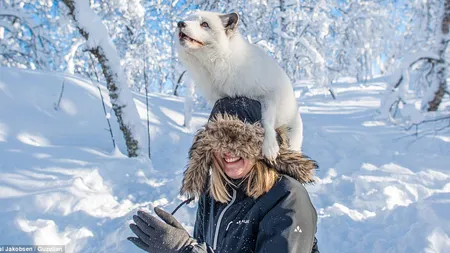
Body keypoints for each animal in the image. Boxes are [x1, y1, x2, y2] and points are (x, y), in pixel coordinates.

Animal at [176, 10, 302, 160]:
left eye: (205, 24)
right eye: (188, 19)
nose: (180, 23)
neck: (222, 63)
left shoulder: (269, 94)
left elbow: (266, 121)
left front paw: (270, 146)